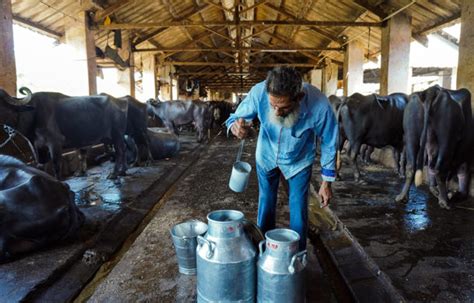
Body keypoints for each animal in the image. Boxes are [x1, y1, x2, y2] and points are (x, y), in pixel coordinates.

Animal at [0, 88, 128, 179]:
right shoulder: (36, 146)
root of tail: (119, 101)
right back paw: (123, 171)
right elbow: (41, 166)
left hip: (117, 134)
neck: (33, 114)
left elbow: (56, 164)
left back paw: (115, 173)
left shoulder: (55, 143)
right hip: (110, 137)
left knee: (120, 152)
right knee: (123, 149)